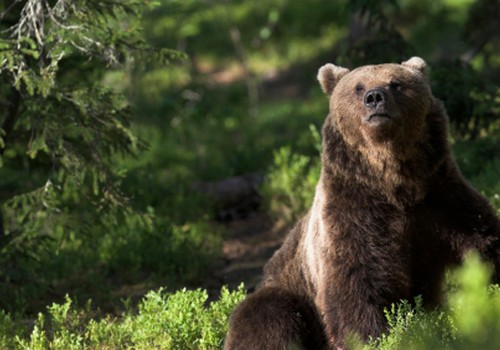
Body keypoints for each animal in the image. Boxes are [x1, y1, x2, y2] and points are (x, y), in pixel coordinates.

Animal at [224, 56, 500, 348]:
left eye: (395, 83)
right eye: (358, 87)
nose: (375, 97)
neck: (396, 184)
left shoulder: (440, 198)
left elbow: (483, 241)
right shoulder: (352, 213)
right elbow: (355, 282)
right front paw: (373, 337)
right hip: (285, 287)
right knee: (267, 315)